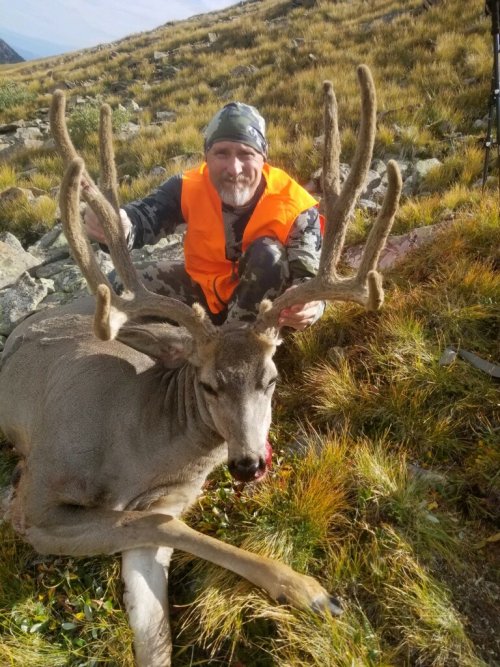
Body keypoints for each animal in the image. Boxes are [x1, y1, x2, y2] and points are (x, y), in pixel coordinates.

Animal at [0, 65, 401, 667]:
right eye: (208, 384)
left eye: (272, 379)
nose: (248, 464)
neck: (136, 446)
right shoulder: (34, 501)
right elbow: (154, 521)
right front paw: (311, 590)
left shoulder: (159, 512)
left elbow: (155, 628)